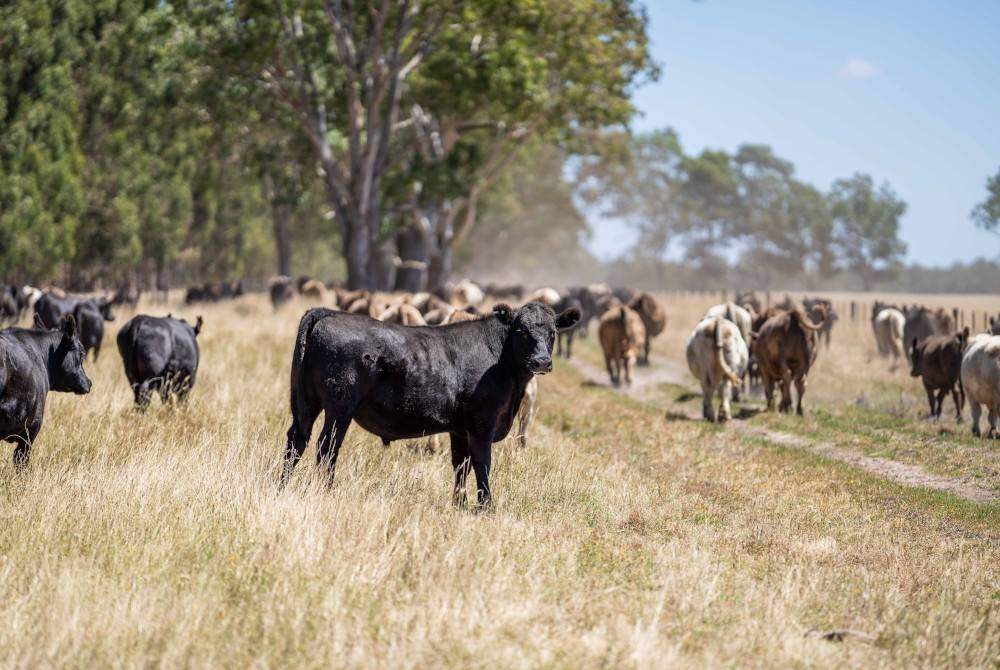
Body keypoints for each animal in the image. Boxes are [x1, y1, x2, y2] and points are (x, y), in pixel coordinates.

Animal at [282, 302, 584, 506]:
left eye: (553, 332)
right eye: (521, 330)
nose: (542, 362)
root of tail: (328, 312)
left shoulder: (460, 430)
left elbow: (460, 465)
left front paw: (459, 504)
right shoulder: (482, 425)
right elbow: (482, 463)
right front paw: (486, 507)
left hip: (306, 403)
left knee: (297, 441)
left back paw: (281, 484)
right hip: (339, 408)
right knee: (326, 448)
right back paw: (326, 490)